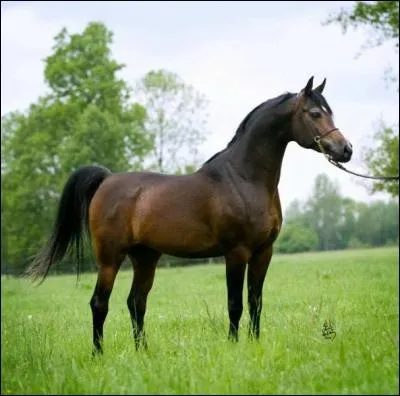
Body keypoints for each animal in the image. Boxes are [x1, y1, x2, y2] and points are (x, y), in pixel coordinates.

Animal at [27, 76, 354, 354]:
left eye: (330, 112)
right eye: (315, 113)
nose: (345, 149)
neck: (244, 178)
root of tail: (106, 180)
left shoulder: (264, 251)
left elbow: (255, 301)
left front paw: (255, 343)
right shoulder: (236, 252)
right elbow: (235, 303)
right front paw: (234, 346)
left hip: (145, 258)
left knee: (136, 303)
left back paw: (143, 352)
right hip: (110, 258)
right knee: (99, 303)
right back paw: (98, 354)